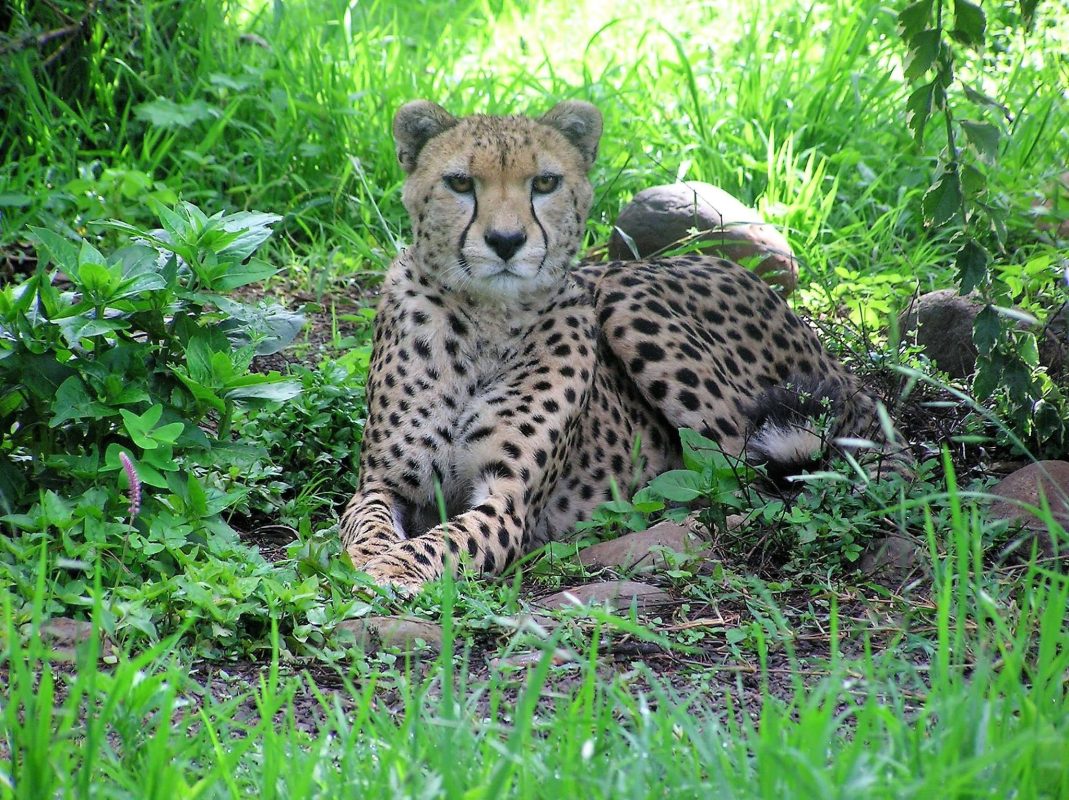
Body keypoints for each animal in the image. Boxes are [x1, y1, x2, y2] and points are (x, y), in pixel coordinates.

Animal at [339, 99, 899, 591]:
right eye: (459, 183)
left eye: (545, 183)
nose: (506, 241)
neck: (487, 321)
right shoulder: (383, 482)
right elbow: (364, 522)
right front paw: (371, 558)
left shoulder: (509, 502)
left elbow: (447, 538)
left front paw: (393, 568)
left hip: (627, 298)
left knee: (748, 485)